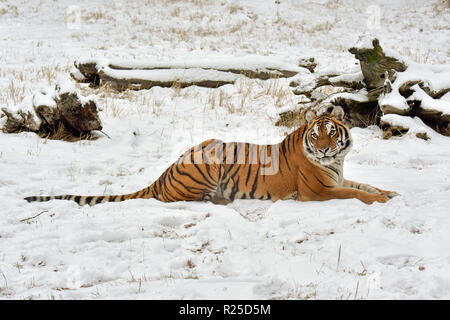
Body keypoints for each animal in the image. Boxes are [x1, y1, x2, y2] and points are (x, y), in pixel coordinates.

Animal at [24, 105, 398, 205]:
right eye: (316, 134)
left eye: (332, 132)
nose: (323, 148)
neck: (336, 161)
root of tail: (164, 173)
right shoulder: (318, 191)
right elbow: (355, 194)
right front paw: (382, 200)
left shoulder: (339, 178)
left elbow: (363, 186)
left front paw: (390, 192)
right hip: (209, 163)